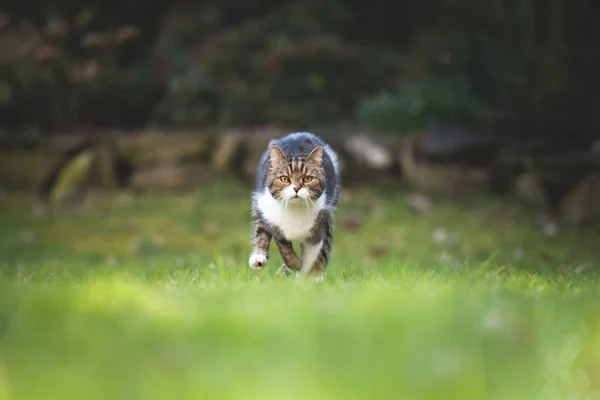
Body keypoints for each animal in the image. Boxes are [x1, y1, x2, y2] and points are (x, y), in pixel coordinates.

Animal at [248, 131, 342, 278]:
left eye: (308, 178)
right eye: (284, 179)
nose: (296, 188)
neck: (294, 209)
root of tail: (300, 133)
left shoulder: (316, 232)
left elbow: (311, 257)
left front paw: (304, 276)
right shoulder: (275, 224)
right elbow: (285, 249)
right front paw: (295, 264)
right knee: (261, 230)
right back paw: (258, 258)